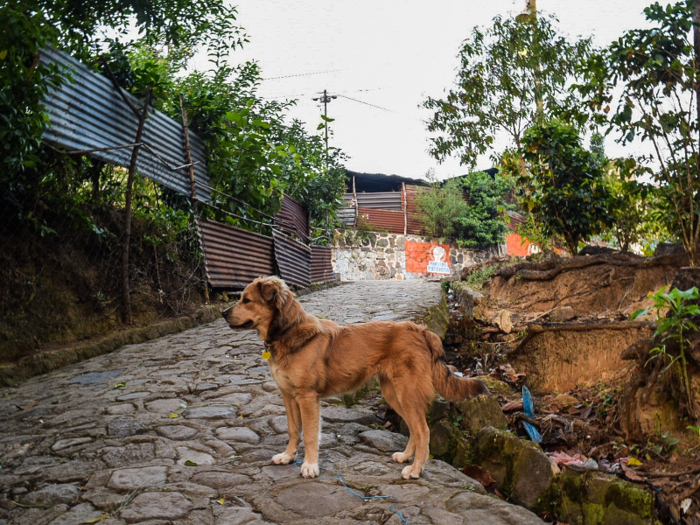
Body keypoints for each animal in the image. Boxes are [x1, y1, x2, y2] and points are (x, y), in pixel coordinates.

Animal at [223, 276, 486, 476]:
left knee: (424, 431)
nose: (224, 313)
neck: (288, 332)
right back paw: (406, 457)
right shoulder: (288, 396)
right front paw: (288, 456)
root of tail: (422, 330)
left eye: (246, 300)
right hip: (394, 395)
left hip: (406, 394)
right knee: (414, 428)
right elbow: (293, 430)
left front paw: (310, 466)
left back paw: (415, 469)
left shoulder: (307, 398)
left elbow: (310, 435)